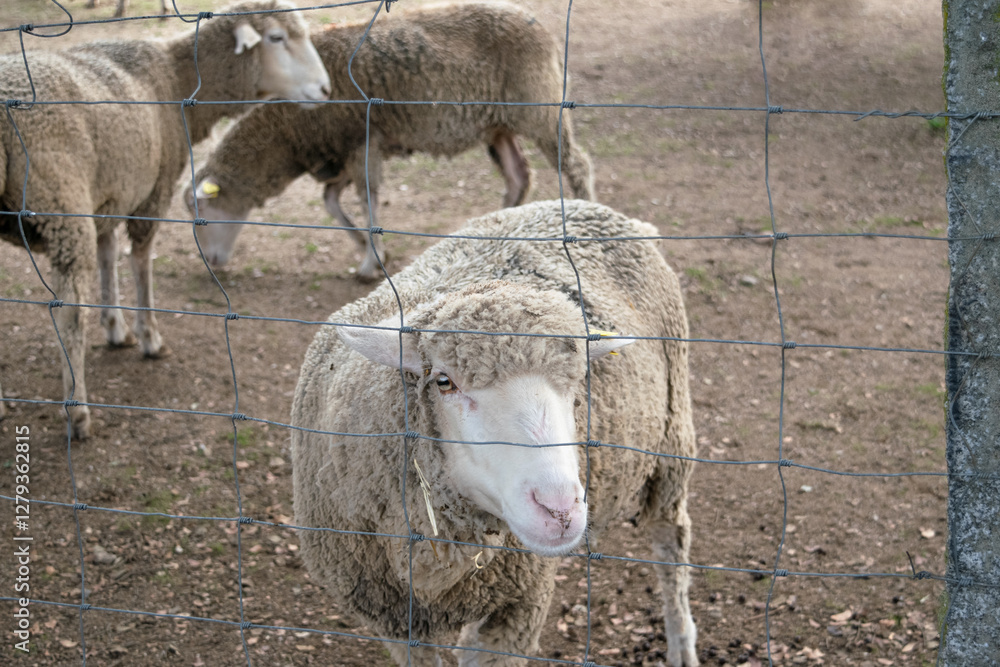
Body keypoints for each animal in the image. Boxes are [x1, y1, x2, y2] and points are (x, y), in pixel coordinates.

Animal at [0, 0, 331, 439]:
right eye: (277, 37)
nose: (326, 90)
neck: (177, 79)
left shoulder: (108, 194)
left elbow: (108, 256)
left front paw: (115, 327)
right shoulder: (149, 194)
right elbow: (140, 262)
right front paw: (149, 337)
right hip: (62, 208)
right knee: (69, 313)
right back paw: (78, 412)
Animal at [185, 1, 595, 281]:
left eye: (203, 211)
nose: (213, 266)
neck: (288, 129)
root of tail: (539, 25)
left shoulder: (361, 141)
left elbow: (367, 200)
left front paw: (371, 261)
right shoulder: (342, 151)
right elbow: (331, 202)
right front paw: (364, 249)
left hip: (540, 109)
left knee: (576, 166)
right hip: (498, 126)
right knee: (518, 176)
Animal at [291, 199, 699, 667]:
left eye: (578, 381)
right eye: (444, 382)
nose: (560, 510)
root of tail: (587, 206)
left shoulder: (520, 604)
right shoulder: (392, 620)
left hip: (673, 441)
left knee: (670, 544)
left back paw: (681, 641)